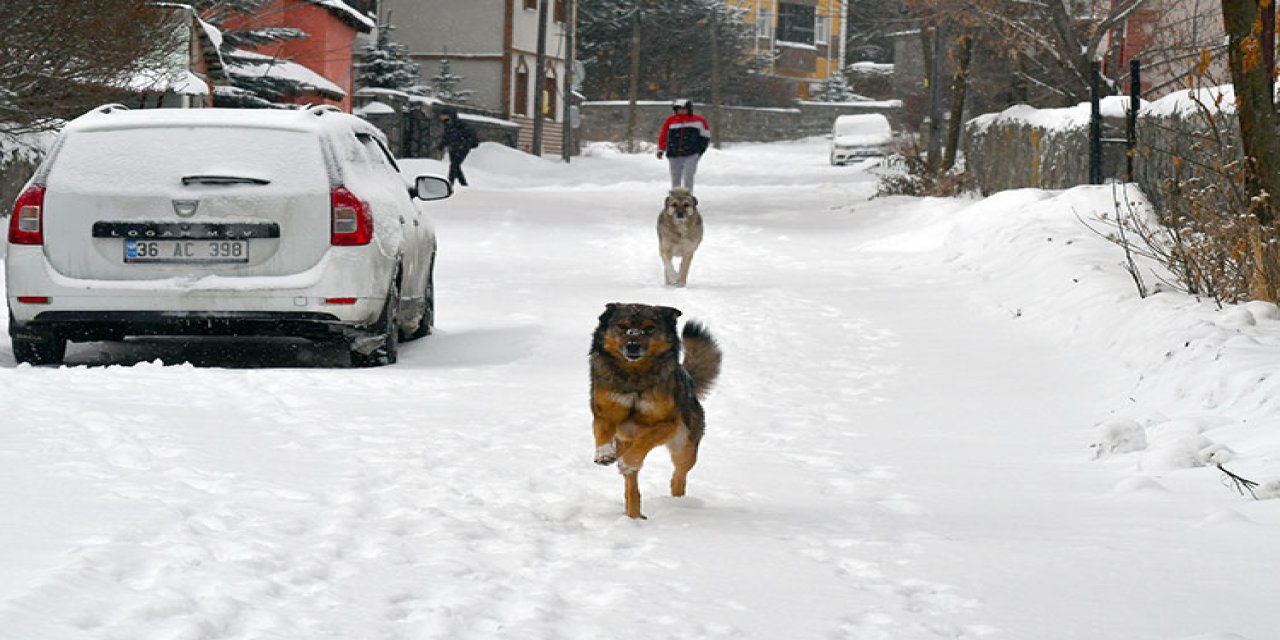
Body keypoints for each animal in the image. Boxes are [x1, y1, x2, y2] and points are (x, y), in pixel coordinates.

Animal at [588, 302, 721, 517]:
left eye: (649, 328)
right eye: (622, 326)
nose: (632, 345)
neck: (634, 376)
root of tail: (690, 381)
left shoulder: (668, 423)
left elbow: (644, 441)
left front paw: (628, 461)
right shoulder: (604, 414)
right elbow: (602, 434)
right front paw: (603, 454)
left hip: (685, 449)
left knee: (678, 476)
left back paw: (677, 503)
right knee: (631, 487)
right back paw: (633, 515)